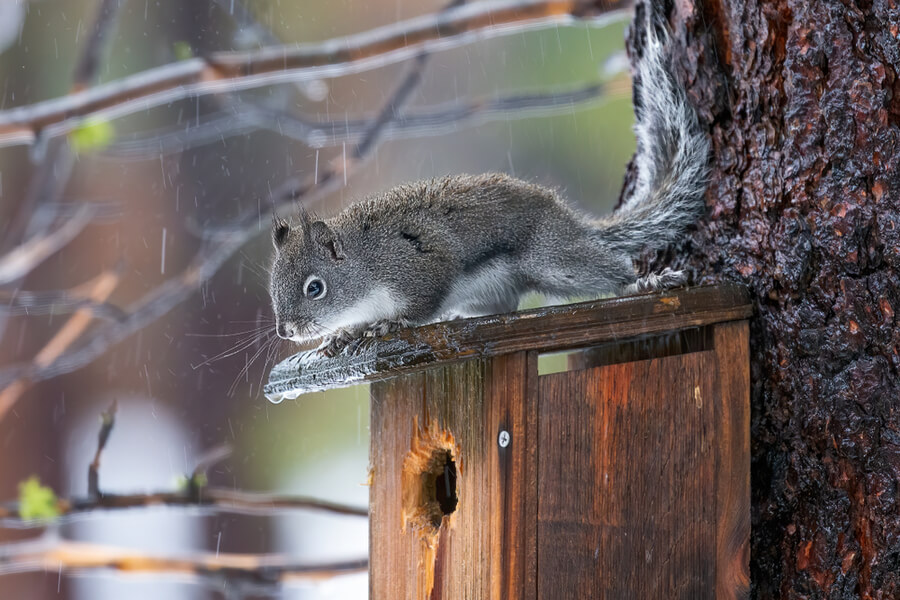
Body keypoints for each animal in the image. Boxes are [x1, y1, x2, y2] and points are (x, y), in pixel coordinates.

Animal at [268, 19, 712, 356]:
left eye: (314, 288)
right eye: (274, 288)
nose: (285, 331)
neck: (366, 262)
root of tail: (570, 222)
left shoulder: (420, 263)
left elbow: (420, 304)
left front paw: (388, 324)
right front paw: (345, 333)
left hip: (553, 259)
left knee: (604, 271)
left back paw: (643, 282)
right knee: (507, 301)